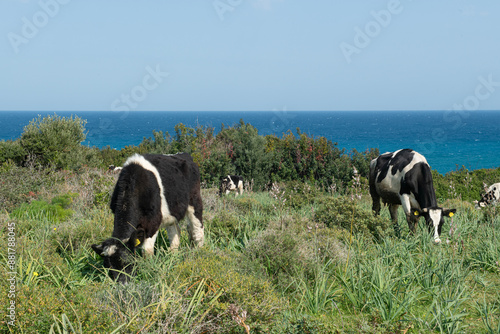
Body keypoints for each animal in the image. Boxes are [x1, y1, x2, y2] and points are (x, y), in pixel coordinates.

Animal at [92, 153, 203, 282]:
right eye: (108, 267)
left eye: (128, 262)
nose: (122, 283)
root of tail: (185, 155)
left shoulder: (153, 222)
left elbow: (147, 250)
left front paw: (149, 270)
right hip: (171, 212)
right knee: (176, 233)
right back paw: (173, 256)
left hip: (194, 200)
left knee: (197, 229)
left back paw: (199, 252)